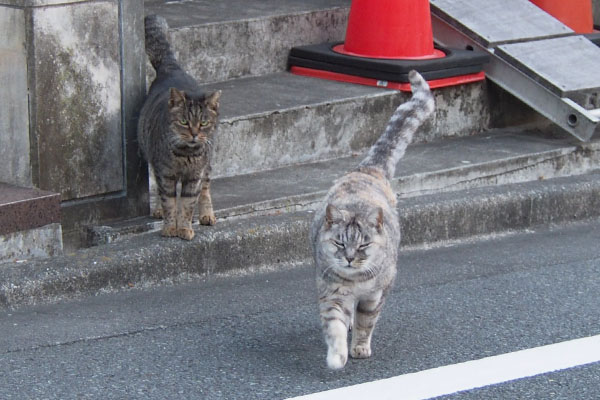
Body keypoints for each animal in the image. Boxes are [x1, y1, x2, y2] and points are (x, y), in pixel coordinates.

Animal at [137, 14, 221, 241]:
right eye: (184, 121)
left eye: (203, 122)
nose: (194, 134)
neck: (185, 154)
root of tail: (171, 67)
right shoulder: (164, 173)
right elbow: (169, 202)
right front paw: (170, 227)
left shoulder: (194, 177)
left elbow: (186, 205)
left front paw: (184, 228)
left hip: (207, 164)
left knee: (206, 188)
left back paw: (207, 215)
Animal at [312, 70, 434, 370]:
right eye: (340, 243)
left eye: (363, 245)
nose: (349, 258)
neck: (355, 283)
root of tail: (368, 169)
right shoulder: (332, 294)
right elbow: (335, 326)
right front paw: (337, 356)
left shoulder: (373, 297)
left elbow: (367, 323)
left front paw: (359, 348)